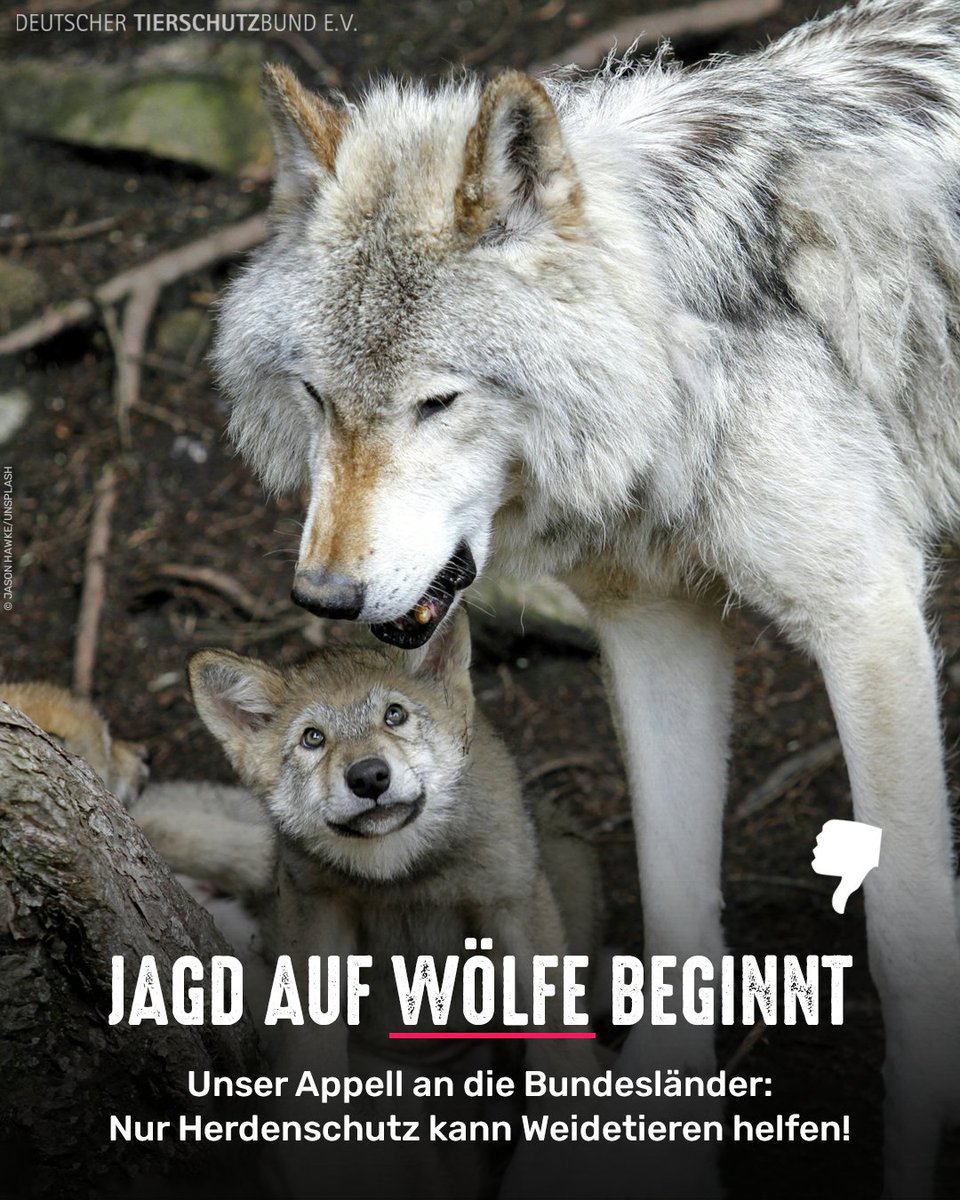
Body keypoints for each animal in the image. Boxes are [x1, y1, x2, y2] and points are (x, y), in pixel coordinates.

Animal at [212, 1, 960, 1193]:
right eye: (320, 398)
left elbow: (909, 942)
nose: (322, 594)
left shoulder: (868, 615)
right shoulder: (655, 623)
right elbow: (676, 908)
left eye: (437, 403)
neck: (675, 359)